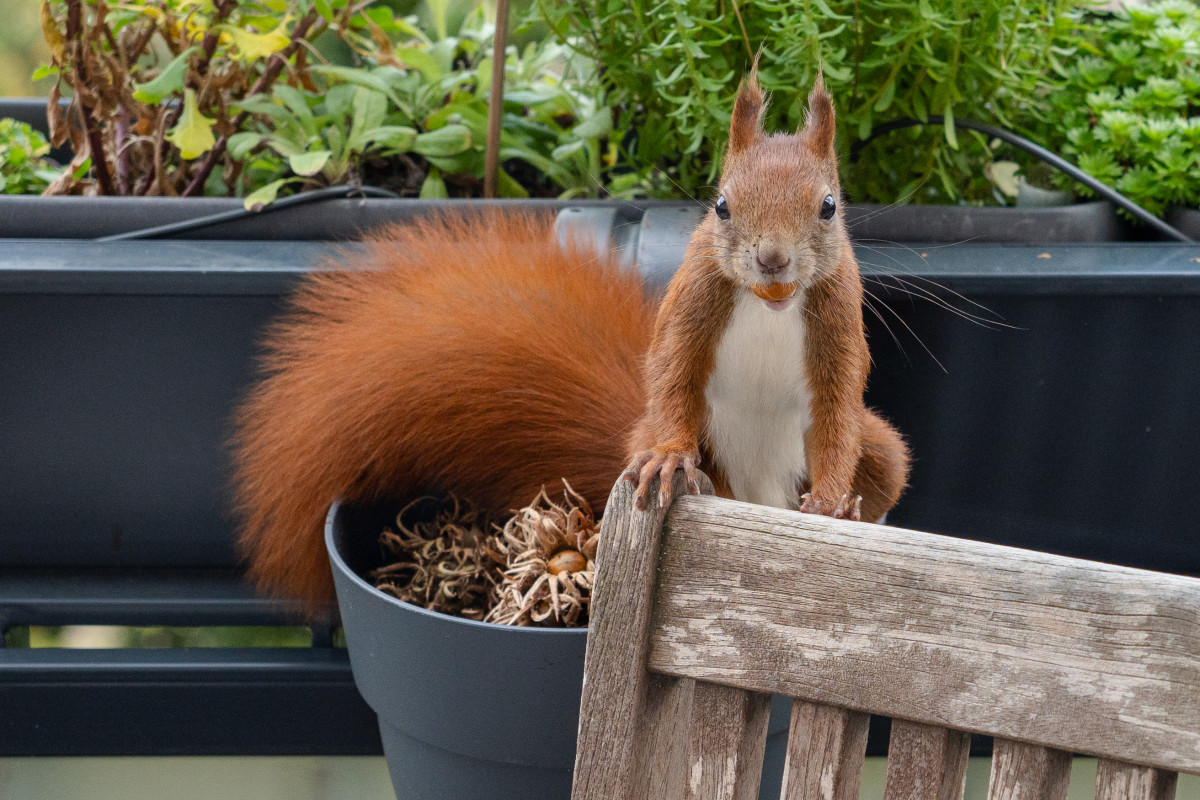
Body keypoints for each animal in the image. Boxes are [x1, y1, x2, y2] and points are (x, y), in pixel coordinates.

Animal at [229, 74, 902, 614]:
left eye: (829, 207)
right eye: (721, 206)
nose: (772, 260)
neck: (768, 307)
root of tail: (756, 504)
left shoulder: (840, 321)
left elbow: (838, 405)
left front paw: (834, 502)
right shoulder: (692, 302)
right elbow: (672, 372)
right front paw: (670, 458)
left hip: (884, 452)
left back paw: (855, 509)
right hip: (671, 449)